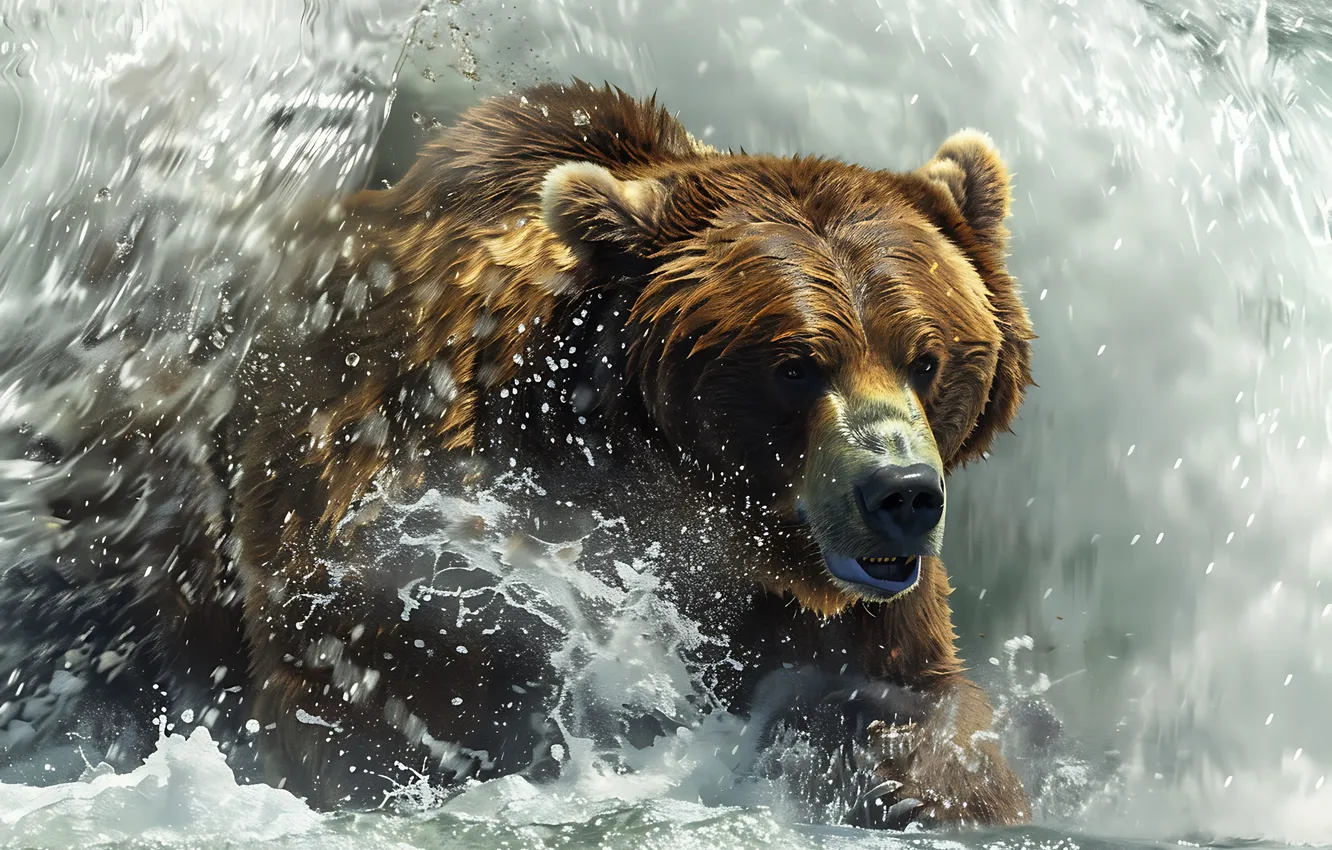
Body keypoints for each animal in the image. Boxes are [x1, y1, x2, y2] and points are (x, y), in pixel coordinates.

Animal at [0, 79, 1034, 828]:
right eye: (794, 365)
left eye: (929, 356)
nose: (900, 493)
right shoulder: (414, 529)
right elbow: (374, 695)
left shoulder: (830, 610)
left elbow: (908, 715)